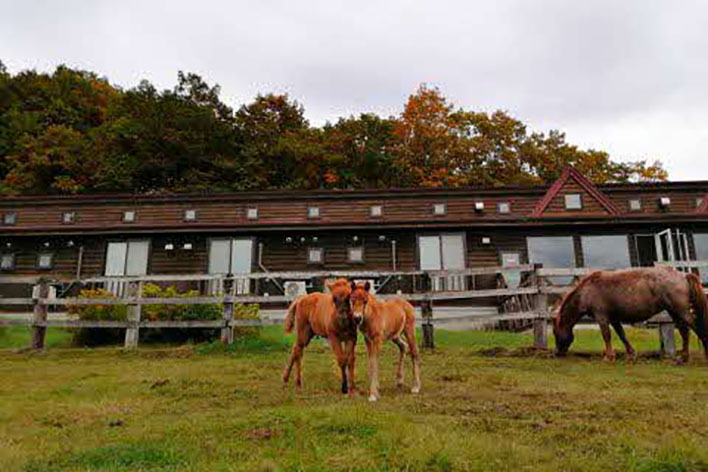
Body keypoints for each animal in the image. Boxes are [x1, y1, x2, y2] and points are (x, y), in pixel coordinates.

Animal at [552, 266, 708, 362]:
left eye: (555, 332)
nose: (557, 353)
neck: (587, 291)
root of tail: (683, 275)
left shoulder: (602, 317)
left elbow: (606, 335)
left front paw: (609, 357)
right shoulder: (614, 319)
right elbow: (622, 335)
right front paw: (631, 353)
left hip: (681, 311)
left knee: (695, 327)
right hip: (674, 311)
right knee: (684, 331)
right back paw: (683, 358)